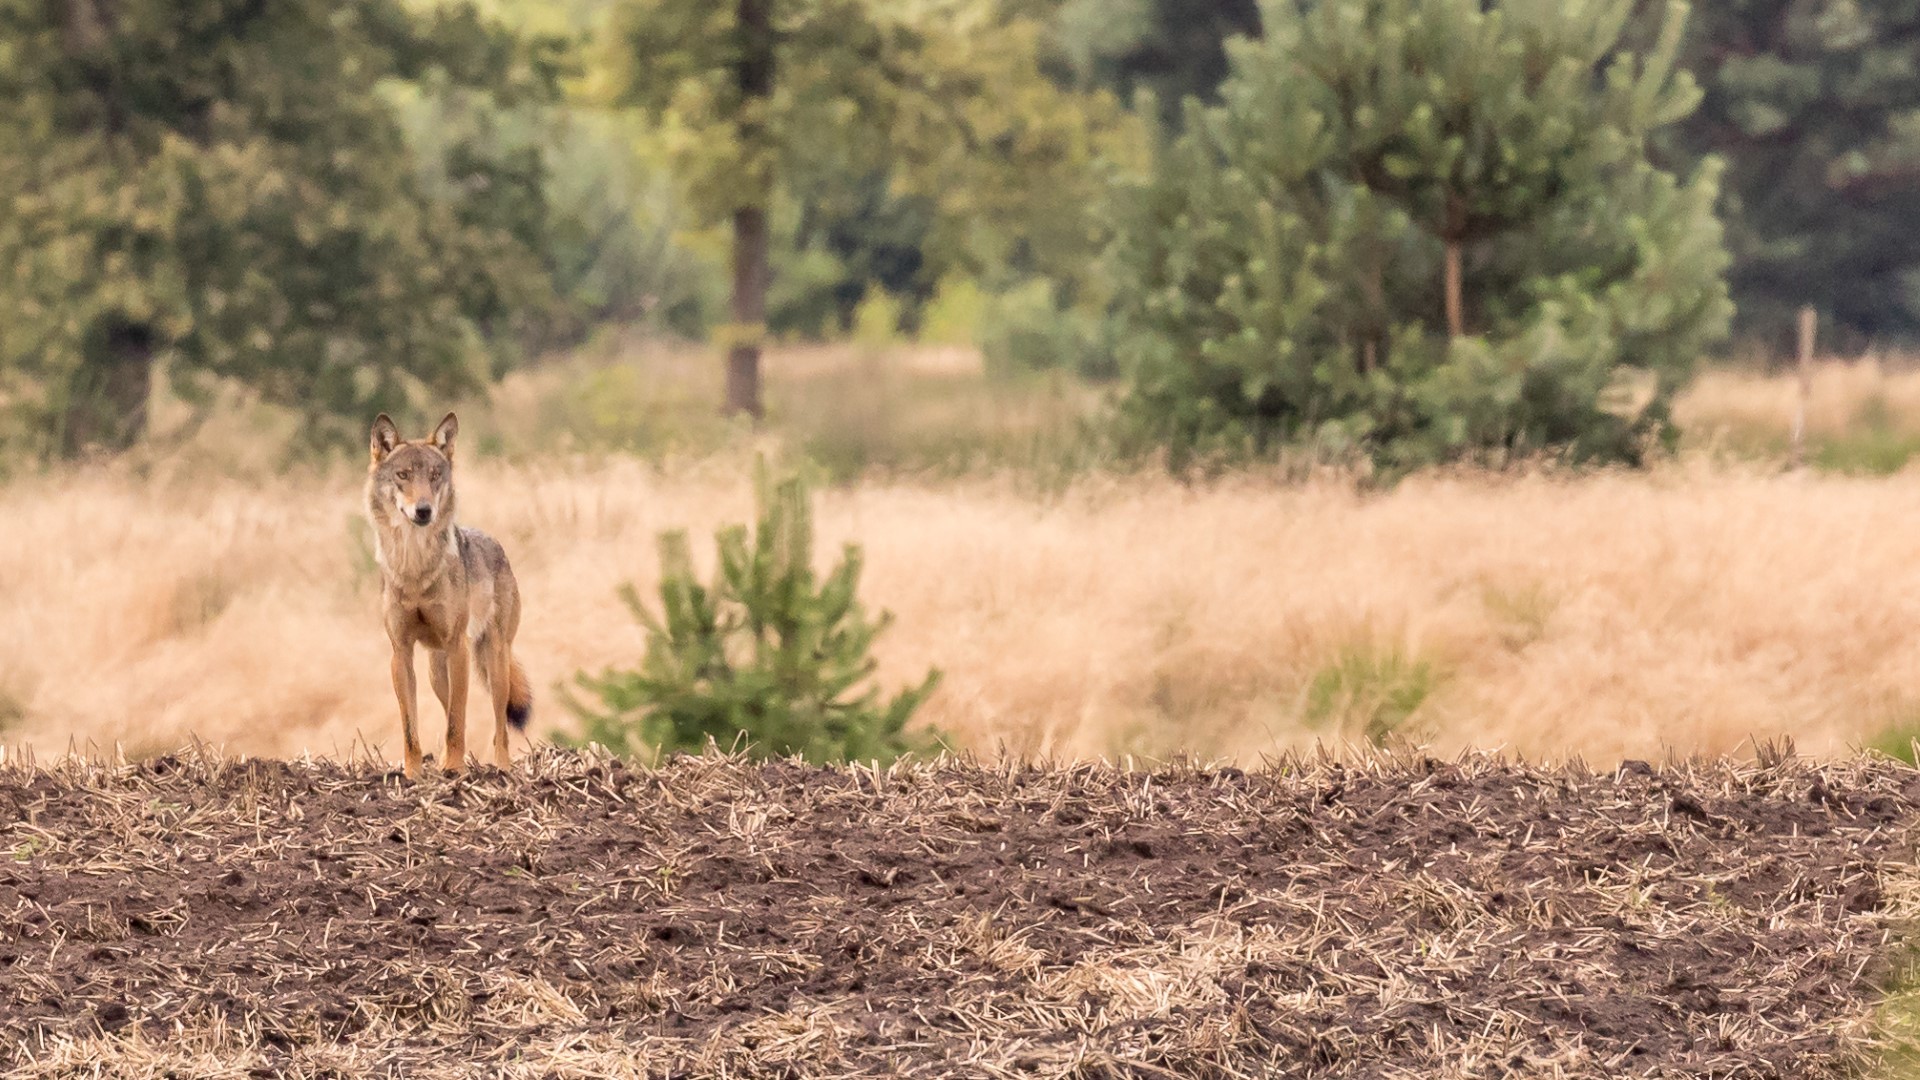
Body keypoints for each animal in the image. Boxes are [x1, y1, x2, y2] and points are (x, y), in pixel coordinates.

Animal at [366, 412, 531, 777]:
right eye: (403, 475)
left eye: (434, 475)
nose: (423, 511)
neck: (415, 569)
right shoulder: (401, 653)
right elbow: (411, 727)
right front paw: (413, 773)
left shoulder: (458, 647)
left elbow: (458, 721)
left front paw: (455, 770)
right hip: (436, 669)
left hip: (492, 660)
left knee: (499, 727)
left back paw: (502, 769)